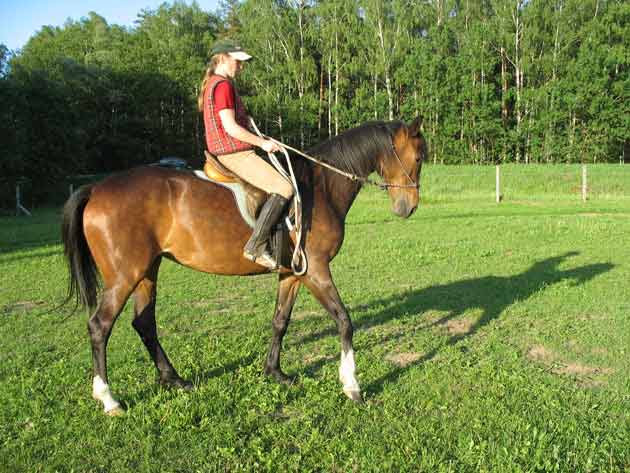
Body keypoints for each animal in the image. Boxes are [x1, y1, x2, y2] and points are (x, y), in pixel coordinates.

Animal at [61, 117, 428, 412]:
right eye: (419, 157)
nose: (408, 207)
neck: (320, 187)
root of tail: (96, 189)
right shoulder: (316, 270)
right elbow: (344, 321)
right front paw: (351, 385)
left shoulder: (293, 274)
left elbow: (280, 321)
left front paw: (275, 372)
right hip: (125, 276)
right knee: (100, 326)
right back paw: (109, 398)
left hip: (147, 272)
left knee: (144, 323)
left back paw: (174, 379)